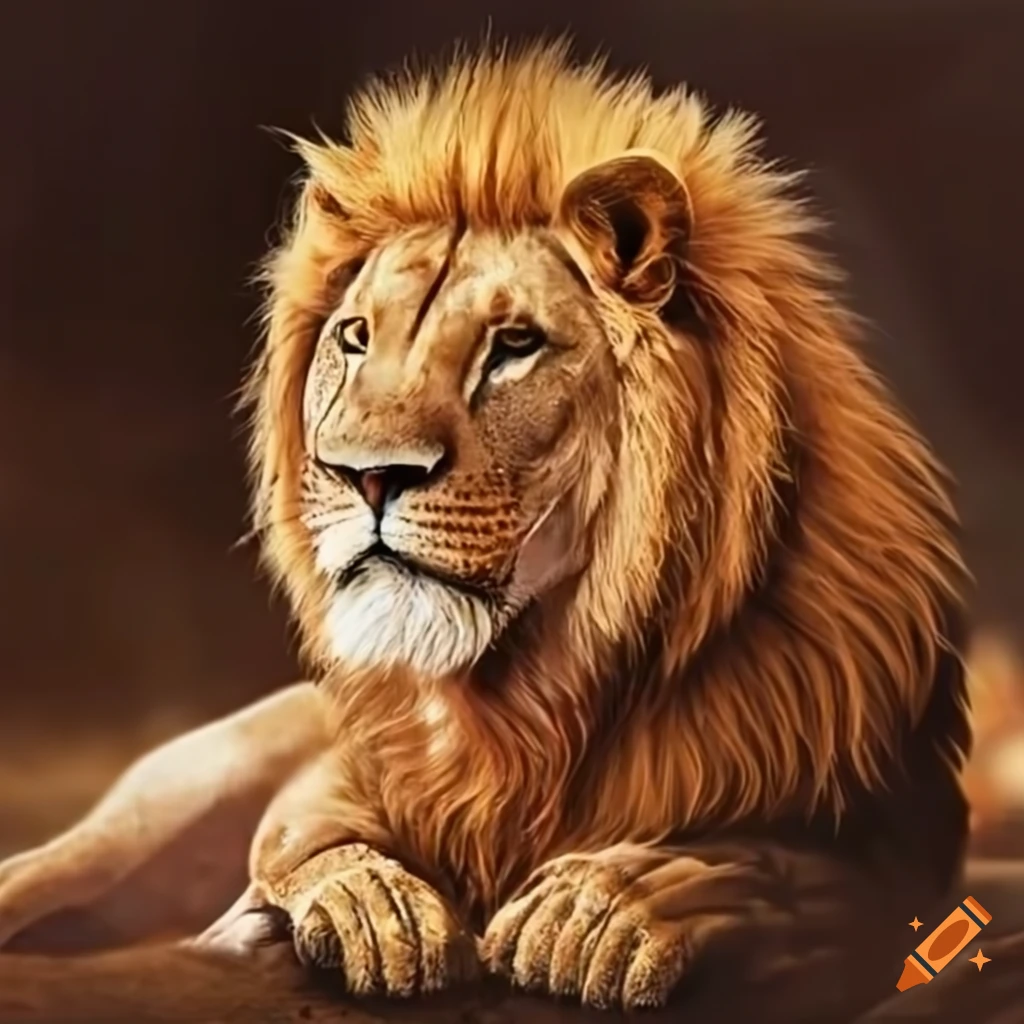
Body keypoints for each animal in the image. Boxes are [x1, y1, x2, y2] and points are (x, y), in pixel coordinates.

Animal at [0, 39, 974, 1022]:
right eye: (355, 337)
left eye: (514, 346)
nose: (365, 474)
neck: (532, 693)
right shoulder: (331, 779)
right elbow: (308, 838)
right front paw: (378, 911)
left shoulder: (896, 842)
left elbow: (774, 870)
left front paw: (602, 910)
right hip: (151, 812)